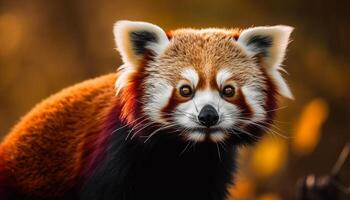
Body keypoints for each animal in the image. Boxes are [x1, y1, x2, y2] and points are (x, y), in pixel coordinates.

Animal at [0, 20, 292, 200]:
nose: (208, 116)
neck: (185, 151)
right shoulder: (115, 155)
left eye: (228, 90)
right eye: (185, 90)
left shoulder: (214, 167)